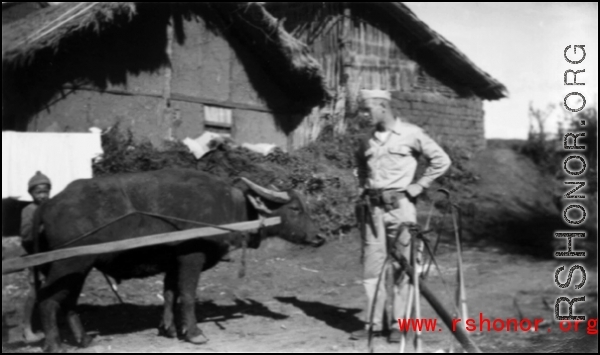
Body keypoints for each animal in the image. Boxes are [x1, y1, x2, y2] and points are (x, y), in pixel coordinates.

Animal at [29, 169, 324, 354]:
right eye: (295, 209)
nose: (319, 236)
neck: (233, 208)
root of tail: (47, 205)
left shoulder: (172, 263)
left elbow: (170, 294)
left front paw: (169, 328)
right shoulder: (191, 257)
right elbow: (188, 294)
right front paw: (194, 333)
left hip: (79, 269)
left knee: (68, 303)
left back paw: (84, 339)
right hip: (69, 265)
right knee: (46, 301)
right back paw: (55, 344)